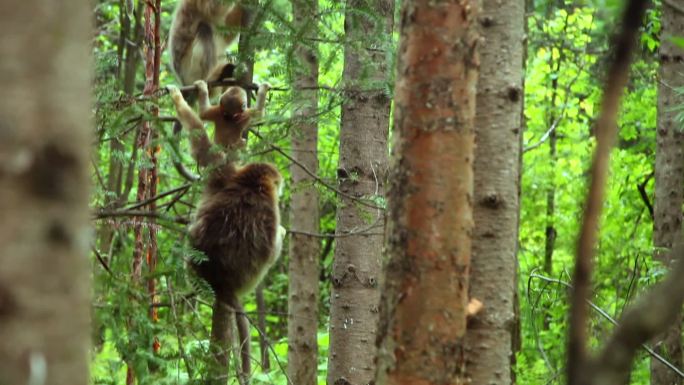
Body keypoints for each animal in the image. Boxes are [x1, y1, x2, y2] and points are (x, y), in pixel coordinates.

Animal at [168, 79, 284, 382]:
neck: (249, 186)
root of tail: (220, 280)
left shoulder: (223, 174)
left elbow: (201, 141)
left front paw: (180, 100)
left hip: (192, 269)